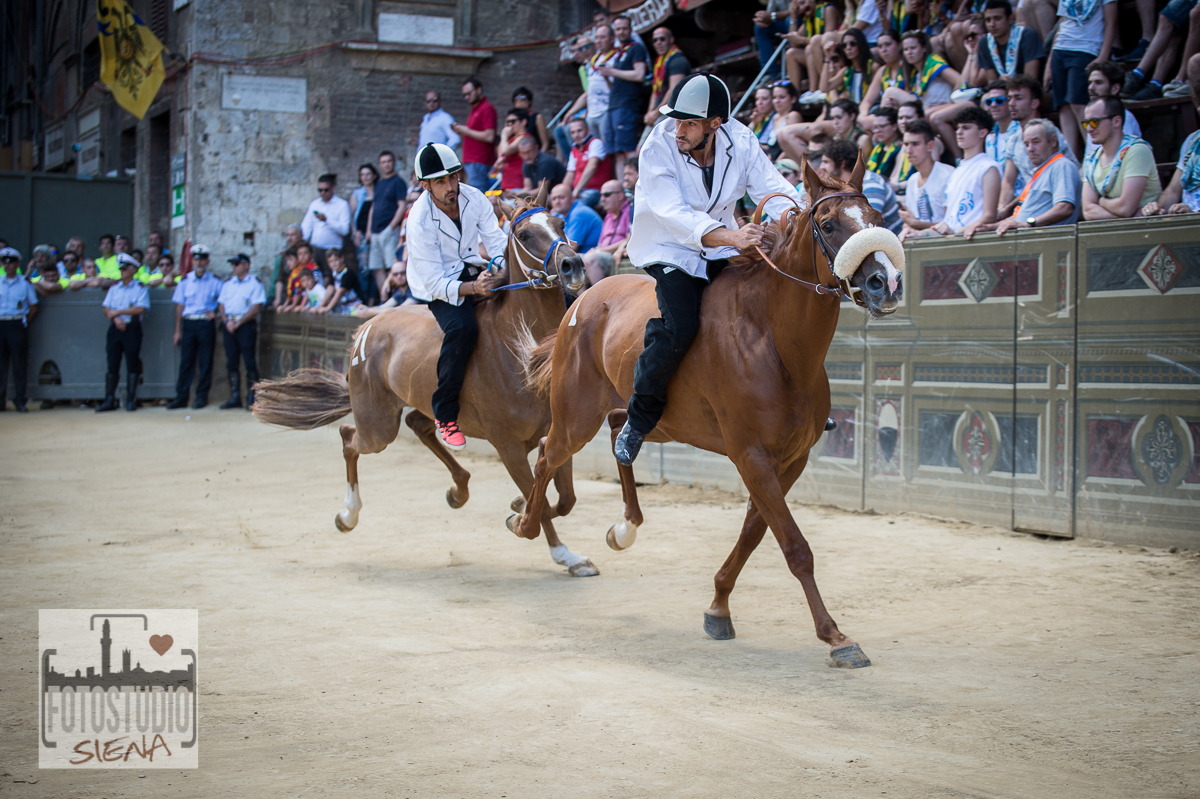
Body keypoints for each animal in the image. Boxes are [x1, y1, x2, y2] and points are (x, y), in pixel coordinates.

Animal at [253, 187, 595, 573]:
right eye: (523, 234)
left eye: (560, 223)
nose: (573, 265)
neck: (521, 348)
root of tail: (365, 329)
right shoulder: (506, 444)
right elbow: (541, 513)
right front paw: (557, 548)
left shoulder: (556, 432)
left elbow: (563, 499)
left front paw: (524, 514)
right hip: (378, 425)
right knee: (349, 437)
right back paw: (347, 515)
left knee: (417, 424)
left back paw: (458, 490)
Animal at [511, 158, 902, 662]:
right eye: (830, 224)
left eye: (877, 216)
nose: (884, 283)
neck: (774, 340)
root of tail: (583, 299)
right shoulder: (751, 456)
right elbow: (794, 545)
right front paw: (836, 637)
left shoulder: (791, 460)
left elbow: (755, 533)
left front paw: (718, 607)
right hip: (577, 416)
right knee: (546, 453)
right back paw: (525, 521)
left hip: (658, 419)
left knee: (620, 432)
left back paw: (623, 525)